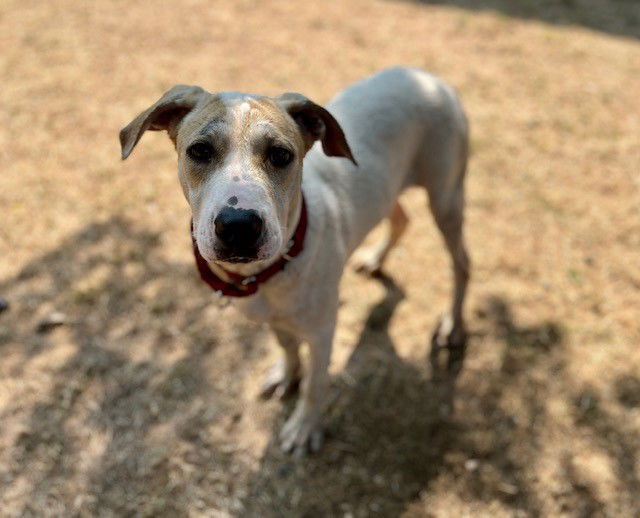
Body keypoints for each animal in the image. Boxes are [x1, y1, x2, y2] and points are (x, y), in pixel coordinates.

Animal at [120, 67, 470, 458]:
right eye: (199, 151)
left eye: (281, 155)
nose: (239, 226)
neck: (268, 273)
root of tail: (423, 75)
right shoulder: (273, 318)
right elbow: (287, 346)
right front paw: (287, 375)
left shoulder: (323, 331)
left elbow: (315, 385)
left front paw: (304, 428)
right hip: (390, 188)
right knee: (401, 219)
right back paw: (375, 259)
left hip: (446, 198)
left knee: (462, 264)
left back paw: (452, 325)